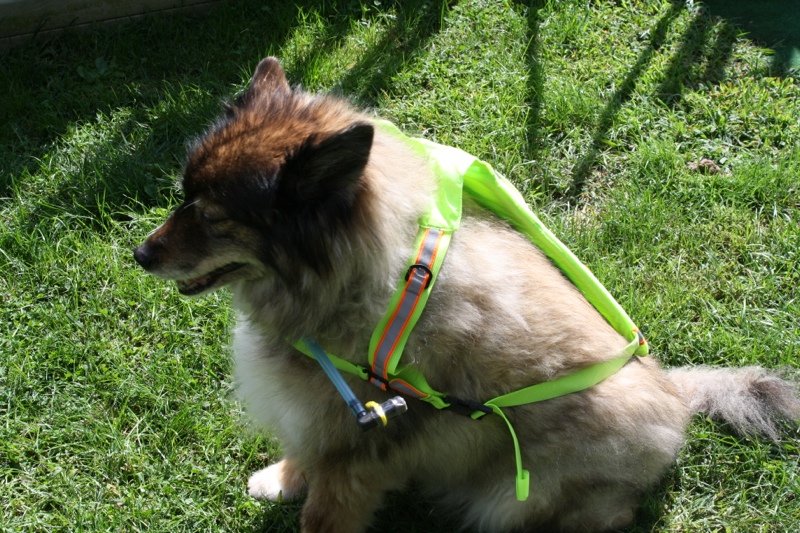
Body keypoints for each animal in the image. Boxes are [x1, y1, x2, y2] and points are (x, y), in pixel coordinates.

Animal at [134, 57, 799, 532]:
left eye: (212, 218)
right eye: (183, 196)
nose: (141, 255)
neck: (351, 283)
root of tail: (676, 397)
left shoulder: (360, 445)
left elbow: (324, 511)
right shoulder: (328, 425)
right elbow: (306, 458)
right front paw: (282, 478)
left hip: (519, 494)